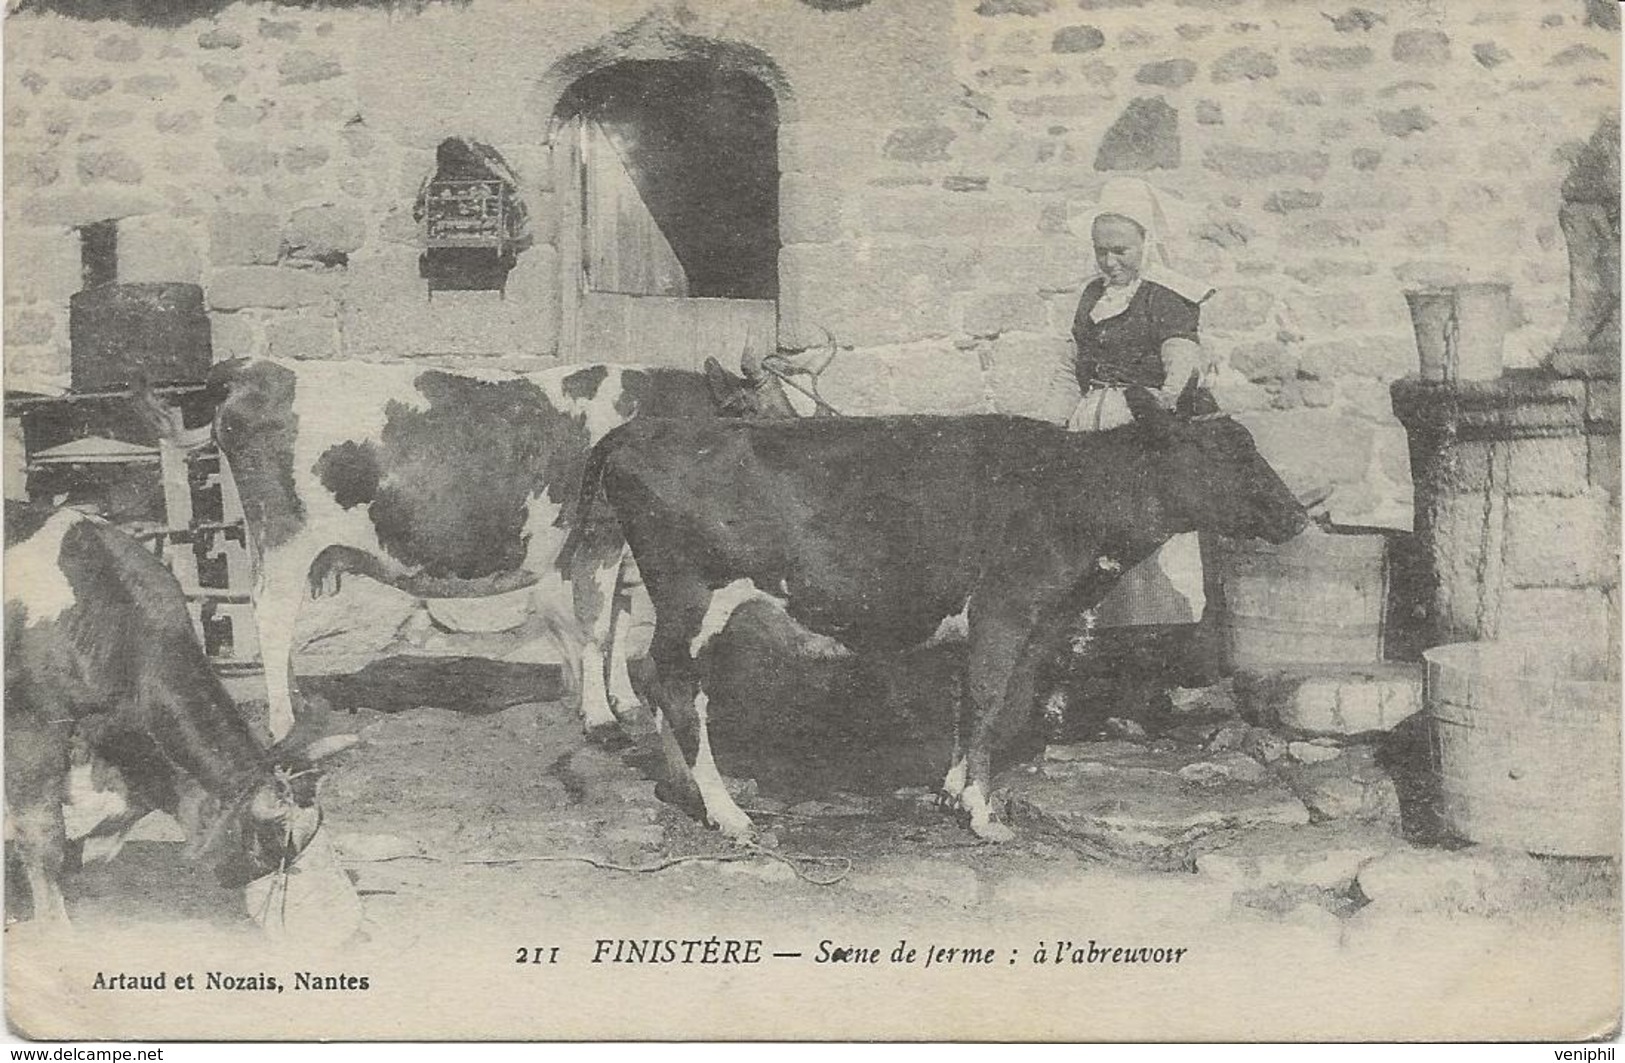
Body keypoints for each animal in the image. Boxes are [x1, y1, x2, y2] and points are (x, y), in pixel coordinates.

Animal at [572, 386, 1306, 845]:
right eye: (1225, 453)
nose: (1298, 514)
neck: (1070, 489)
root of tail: (645, 428)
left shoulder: (1029, 620)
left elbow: (982, 702)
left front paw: (955, 786)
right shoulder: (1005, 607)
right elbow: (987, 700)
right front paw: (982, 813)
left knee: (659, 680)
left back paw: (684, 784)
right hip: (690, 594)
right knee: (674, 685)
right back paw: (726, 810)